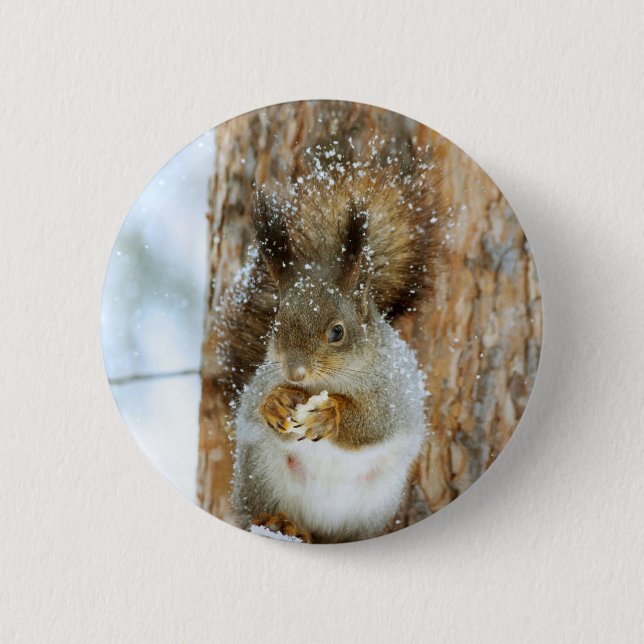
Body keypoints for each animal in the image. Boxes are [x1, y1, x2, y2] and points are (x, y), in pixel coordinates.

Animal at [219, 155, 444, 543]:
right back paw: (279, 522)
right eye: (276, 324)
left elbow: (374, 421)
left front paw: (330, 414)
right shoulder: (262, 379)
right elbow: (255, 401)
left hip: (374, 503)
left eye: (337, 332)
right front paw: (275, 403)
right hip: (259, 473)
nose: (294, 373)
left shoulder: (394, 392)